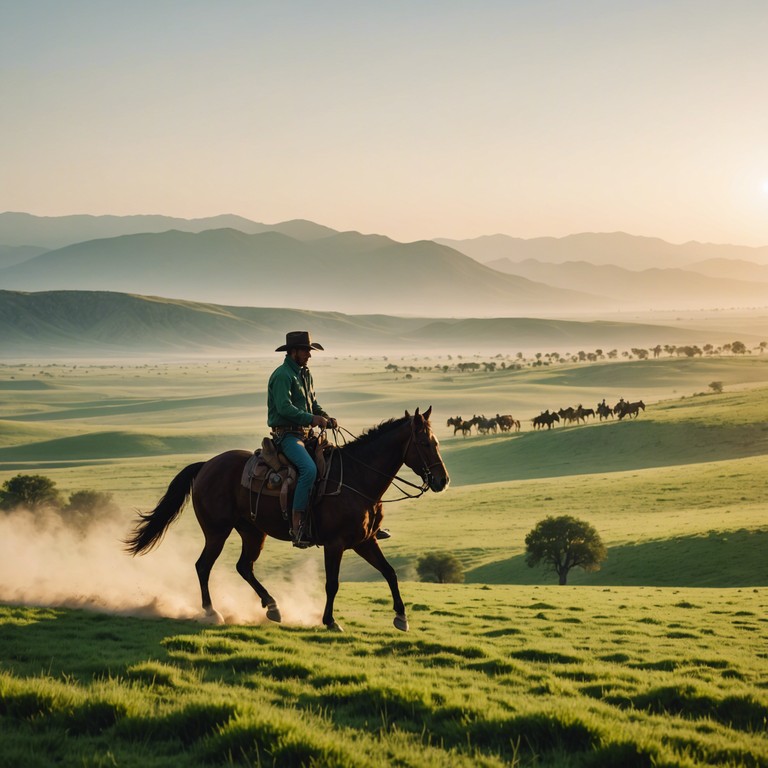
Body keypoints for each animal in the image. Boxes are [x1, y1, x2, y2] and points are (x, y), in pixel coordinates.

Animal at [124, 404, 450, 632]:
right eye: (425, 444)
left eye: (437, 443)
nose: (442, 481)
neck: (356, 478)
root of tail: (206, 465)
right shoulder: (335, 544)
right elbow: (333, 583)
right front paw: (330, 621)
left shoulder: (365, 541)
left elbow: (390, 573)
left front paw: (401, 617)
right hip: (217, 531)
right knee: (203, 566)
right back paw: (212, 612)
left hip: (253, 532)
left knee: (244, 566)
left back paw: (272, 606)